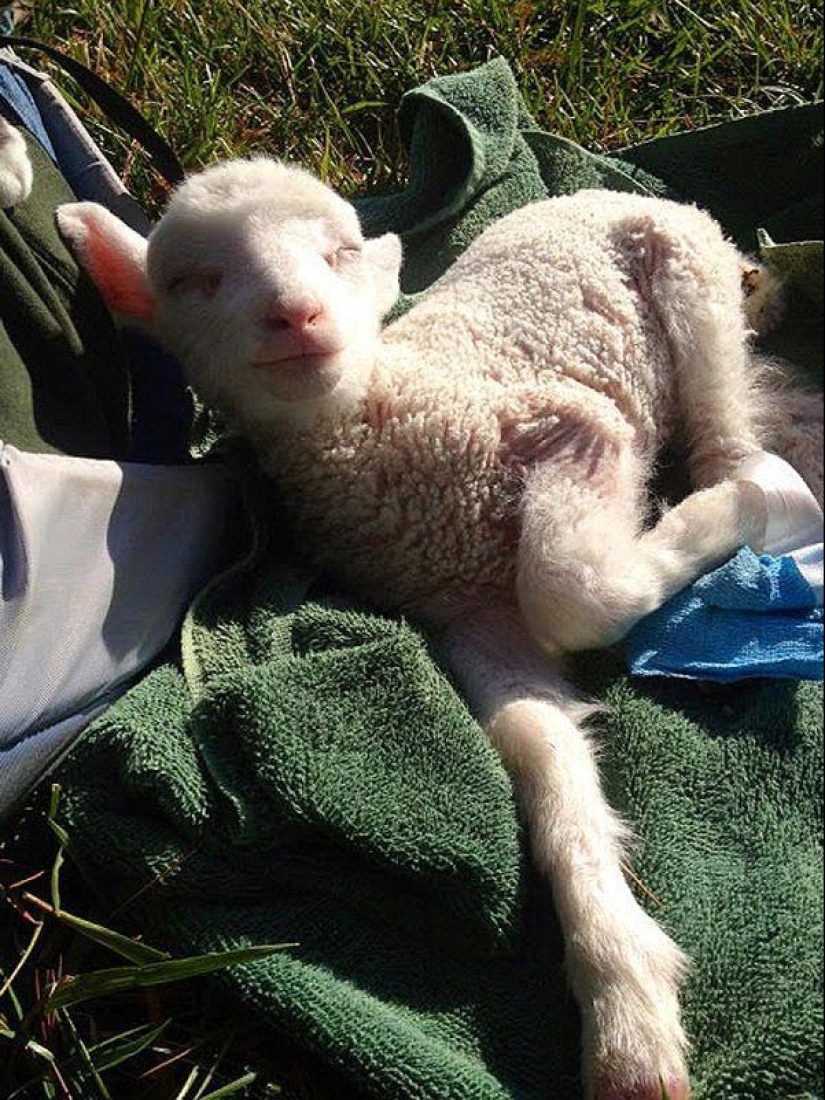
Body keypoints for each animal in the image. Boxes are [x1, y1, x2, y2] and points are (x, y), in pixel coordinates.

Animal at [56, 158, 822, 1100]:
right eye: (193, 281)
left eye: (341, 252)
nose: (296, 315)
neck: (380, 424)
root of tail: (602, 192)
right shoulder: (468, 614)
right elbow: (535, 747)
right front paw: (625, 1006)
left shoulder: (571, 425)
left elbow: (571, 587)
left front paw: (721, 516)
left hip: (688, 278)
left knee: (723, 414)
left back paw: (750, 491)